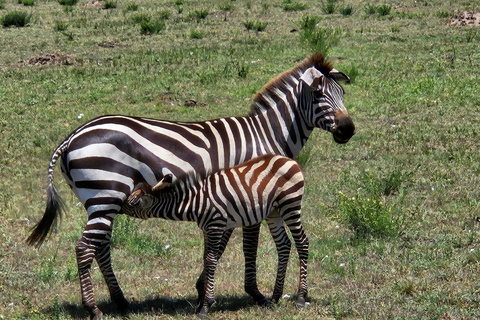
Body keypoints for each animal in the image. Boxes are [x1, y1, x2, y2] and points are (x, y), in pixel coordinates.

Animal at [121, 154, 308, 316]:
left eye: (132, 203)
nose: (118, 204)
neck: (195, 203)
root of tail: (288, 160)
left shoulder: (215, 226)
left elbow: (211, 259)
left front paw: (205, 305)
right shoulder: (206, 229)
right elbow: (206, 258)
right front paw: (202, 299)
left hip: (290, 204)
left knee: (302, 242)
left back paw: (301, 297)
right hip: (274, 212)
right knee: (284, 244)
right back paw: (275, 297)